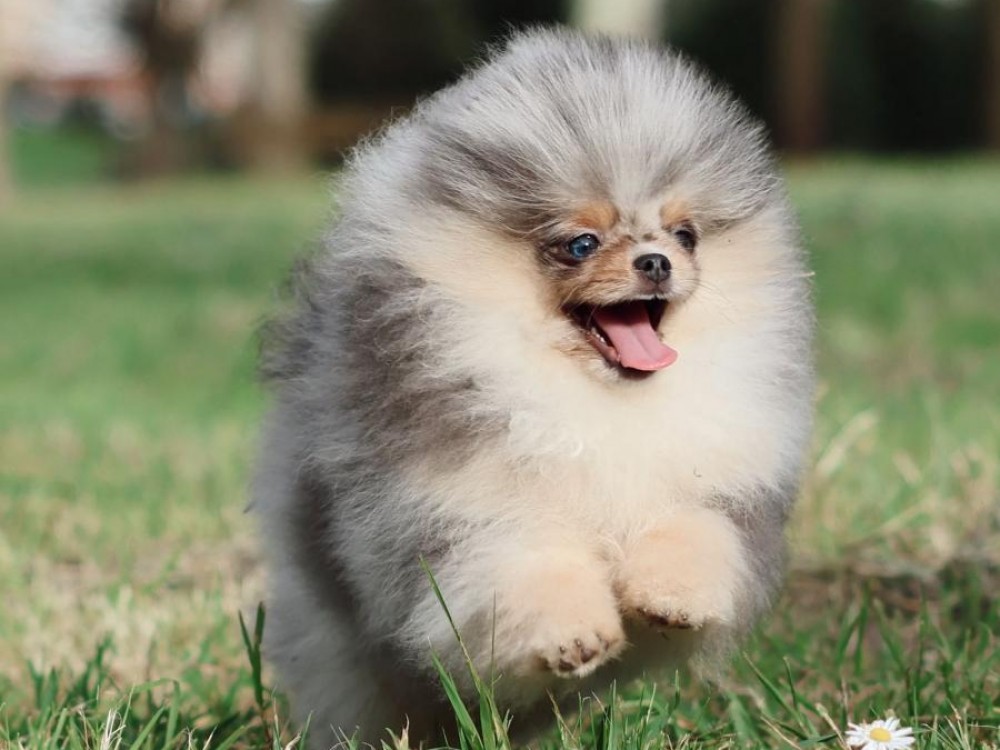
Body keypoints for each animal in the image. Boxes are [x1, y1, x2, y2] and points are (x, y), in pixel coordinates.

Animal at [253, 28, 814, 749]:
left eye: (685, 235)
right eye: (580, 244)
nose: (657, 261)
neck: (595, 403)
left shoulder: (715, 486)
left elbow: (693, 532)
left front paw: (672, 595)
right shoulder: (464, 513)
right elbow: (528, 570)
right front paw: (572, 636)